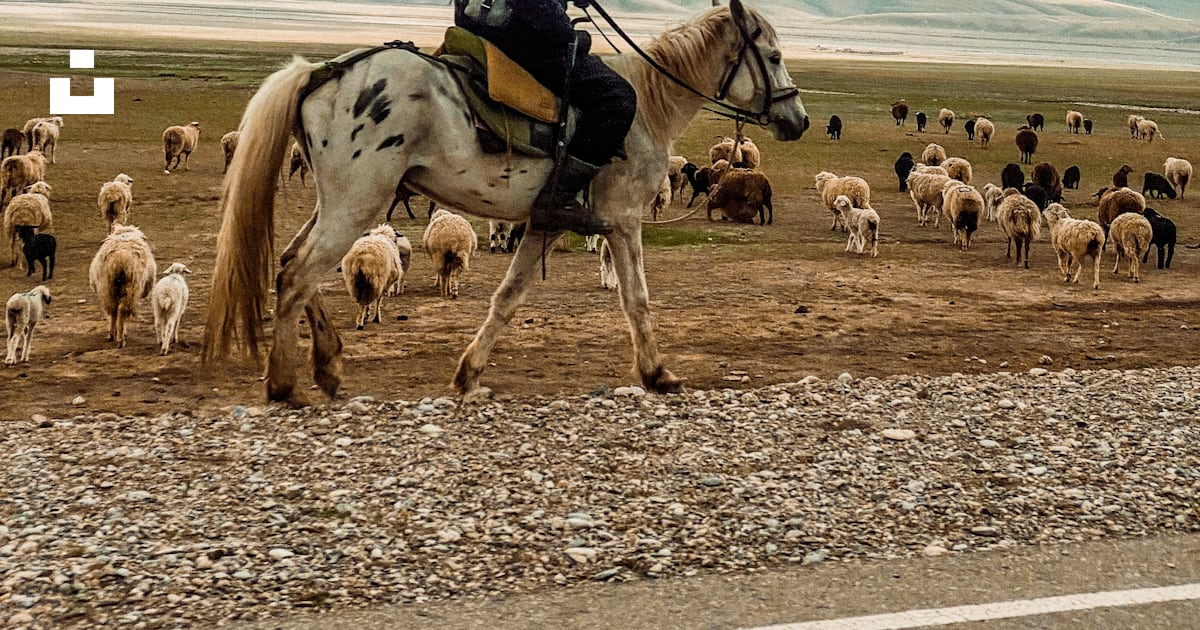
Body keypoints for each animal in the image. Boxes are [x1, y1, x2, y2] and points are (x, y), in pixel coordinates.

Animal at [202, 0, 808, 404]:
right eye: (775, 55)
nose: (798, 120)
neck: (648, 104)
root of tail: (324, 73)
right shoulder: (622, 218)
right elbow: (636, 299)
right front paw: (658, 374)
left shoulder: (546, 221)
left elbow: (508, 297)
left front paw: (469, 373)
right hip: (358, 202)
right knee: (298, 274)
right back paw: (286, 384)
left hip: (340, 204)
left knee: (292, 265)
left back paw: (327, 367)